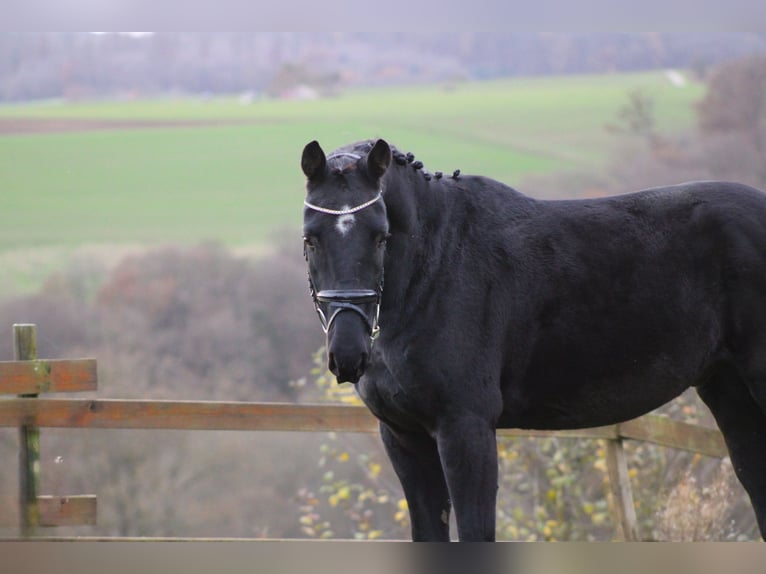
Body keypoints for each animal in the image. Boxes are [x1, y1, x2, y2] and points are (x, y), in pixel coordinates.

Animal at [300, 137, 766, 544]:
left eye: (381, 236)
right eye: (311, 238)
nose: (348, 353)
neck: (434, 267)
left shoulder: (465, 429)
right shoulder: (403, 437)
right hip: (728, 391)